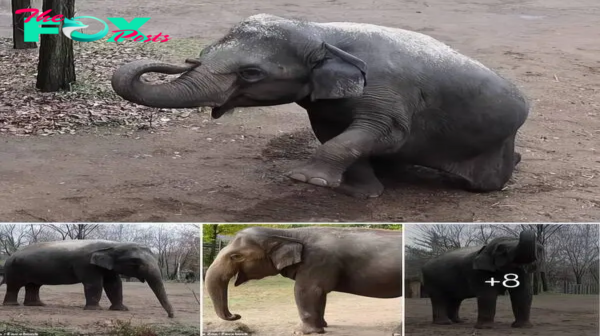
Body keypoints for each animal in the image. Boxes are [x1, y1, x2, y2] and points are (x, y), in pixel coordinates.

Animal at [0, 239, 175, 318]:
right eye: (135, 262)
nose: (170, 316)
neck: (112, 245)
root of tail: (9, 257)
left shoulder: (108, 267)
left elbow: (115, 285)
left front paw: (122, 309)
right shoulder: (86, 264)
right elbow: (94, 284)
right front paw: (94, 309)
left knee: (33, 285)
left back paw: (38, 305)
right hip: (14, 270)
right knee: (15, 286)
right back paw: (12, 305)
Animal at [111, 13, 528, 200]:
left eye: (251, 73)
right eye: (204, 52)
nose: (183, 60)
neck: (321, 32)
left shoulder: (388, 91)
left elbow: (384, 133)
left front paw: (306, 180)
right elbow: (332, 133)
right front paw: (358, 191)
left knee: (488, 182)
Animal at [204, 226, 400, 334]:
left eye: (235, 256)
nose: (236, 315)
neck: (288, 233)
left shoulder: (318, 261)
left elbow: (305, 291)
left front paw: (300, 332)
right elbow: (319, 295)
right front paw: (322, 327)